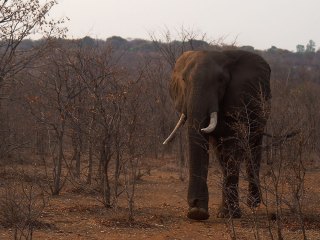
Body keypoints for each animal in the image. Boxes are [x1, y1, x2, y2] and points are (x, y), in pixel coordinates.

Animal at [164, 49, 272, 220]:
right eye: (183, 80)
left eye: (221, 81)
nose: (195, 207)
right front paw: (204, 213)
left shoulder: (238, 99)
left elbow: (233, 147)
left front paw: (230, 215)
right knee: (222, 154)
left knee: (253, 148)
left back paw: (253, 204)